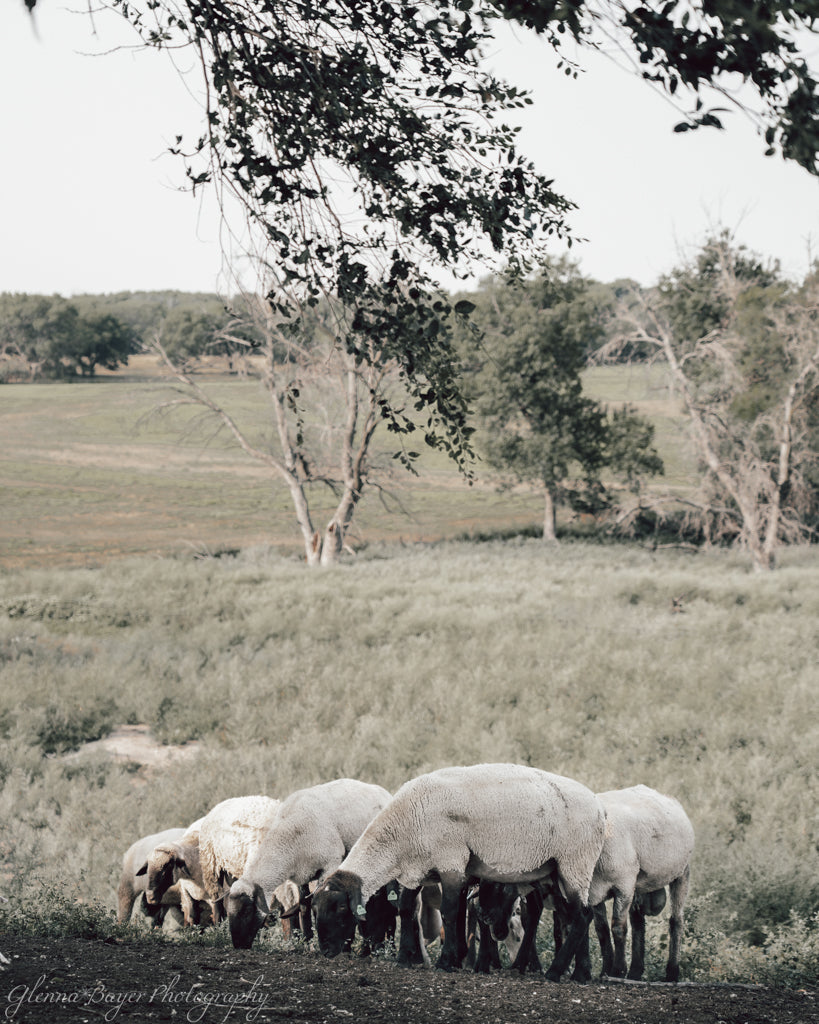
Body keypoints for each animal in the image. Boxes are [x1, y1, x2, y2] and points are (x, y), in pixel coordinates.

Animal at [227, 778, 392, 950]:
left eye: (247, 910)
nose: (238, 945)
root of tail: (380, 789)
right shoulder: (300, 876)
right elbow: (303, 905)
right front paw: (306, 940)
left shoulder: (330, 864)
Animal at [311, 763, 606, 976]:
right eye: (315, 907)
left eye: (340, 907)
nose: (324, 950)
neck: (402, 830)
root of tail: (599, 808)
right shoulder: (418, 869)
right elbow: (406, 909)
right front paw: (405, 958)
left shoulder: (451, 860)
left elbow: (450, 912)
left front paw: (446, 961)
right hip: (548, 869)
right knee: (556, 913)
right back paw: (559, 971)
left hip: (575, 861)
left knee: (582, 915)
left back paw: (556, 972)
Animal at [587, 784, 695, 982]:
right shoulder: (594, 891)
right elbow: (602, 930)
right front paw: (606, 970)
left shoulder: (623, 887)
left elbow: (618, 928)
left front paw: (617, 971)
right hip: (638, 882)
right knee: (638, 922)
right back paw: (636, 971)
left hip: (681, 872)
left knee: (676, 920)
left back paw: (672, 972)